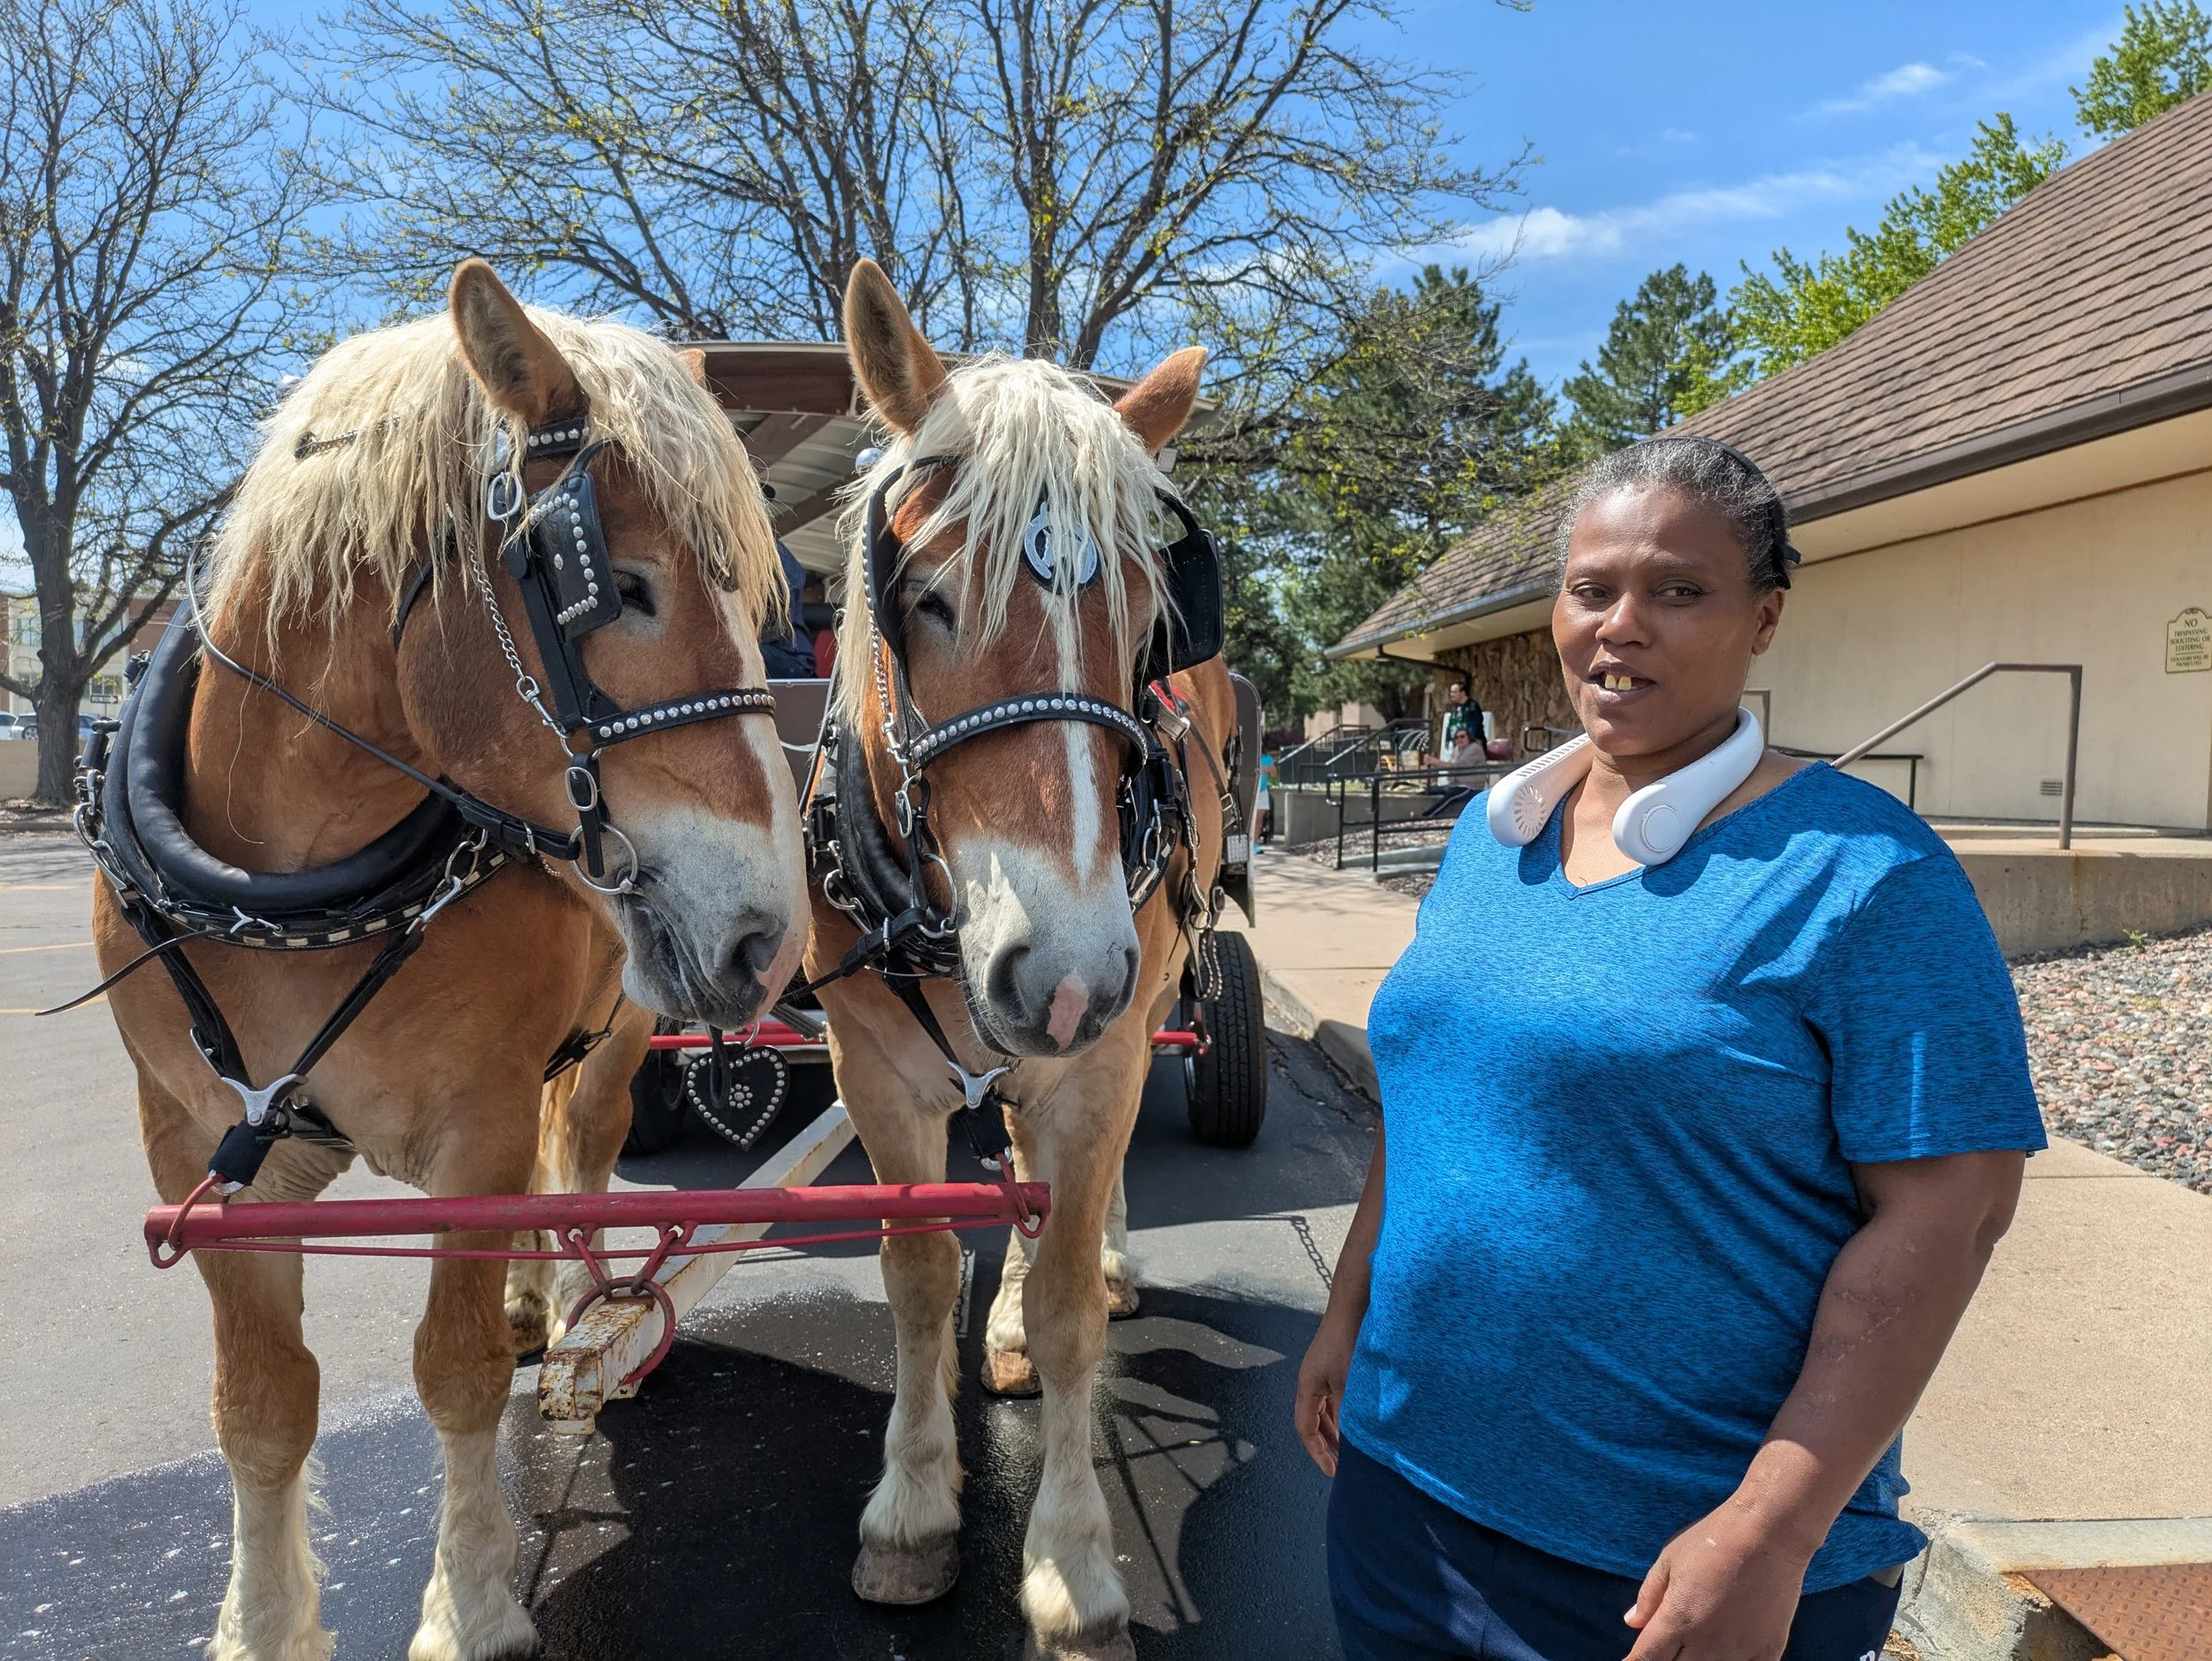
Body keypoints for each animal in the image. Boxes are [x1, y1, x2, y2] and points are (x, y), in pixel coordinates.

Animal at [89, 261, 807, 1661]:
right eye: (620, 584)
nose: (770, 931)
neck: (293, 883)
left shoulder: (476, 1125)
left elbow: (455, 1366)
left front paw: (470, 1602)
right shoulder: (199, 1142)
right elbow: (261, 1402)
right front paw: (263, 1625)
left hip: (619, 1034)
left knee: (578, 1149)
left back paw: (579, 1308)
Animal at [809, 260, 1235, 1661]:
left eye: (1150, 619)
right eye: (926, 597)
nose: (1067, 971)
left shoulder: (1096, 1061)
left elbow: (1064, 1309)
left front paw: (1073, 1562)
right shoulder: (877, 1074)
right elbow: (914, 1272)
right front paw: (912, 1505)